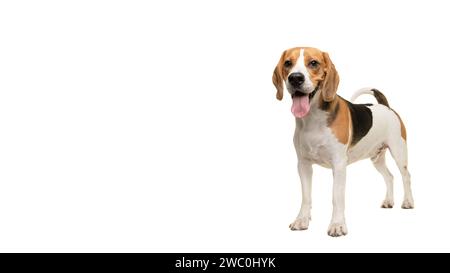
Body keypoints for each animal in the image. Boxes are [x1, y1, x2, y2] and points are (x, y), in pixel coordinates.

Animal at [272, 46, 414, 236]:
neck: (313, 118)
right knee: (389, 177)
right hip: (376, 158)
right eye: (288, 63)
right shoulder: (303, 165)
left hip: (399, 152)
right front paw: (302, 220)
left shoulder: (339, 165)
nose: (295, 78)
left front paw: (337, 225)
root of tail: (385, 106)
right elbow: (306, 196)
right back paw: (388, 201)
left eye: (313, 63)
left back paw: (408, 202)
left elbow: (336, 197)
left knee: (406, 176)